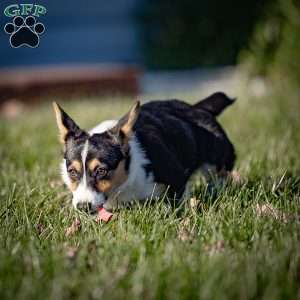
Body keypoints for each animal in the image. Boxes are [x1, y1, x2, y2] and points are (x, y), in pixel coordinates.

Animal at [54, 92, 237, 212]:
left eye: (101, 171)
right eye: (72, 172)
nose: (83, 207)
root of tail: (197, 108)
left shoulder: (177, 177)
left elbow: (175, 205)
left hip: (218, 161)